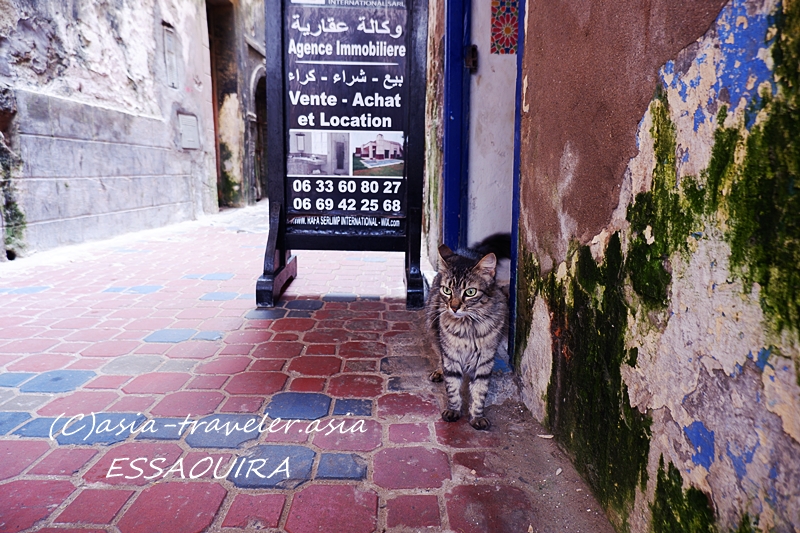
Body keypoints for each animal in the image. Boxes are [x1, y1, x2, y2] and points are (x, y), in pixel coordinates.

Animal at [428, 239, 510, 430]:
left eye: (470, 292)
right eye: (447, 290)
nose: (454, 307)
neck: (468, 327)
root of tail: (466, 251)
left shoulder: (485, 360)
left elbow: (480, 392)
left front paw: (477, 417)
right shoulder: (451, 356)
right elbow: (452, 387)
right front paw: (453, 411)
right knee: (440, 357)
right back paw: (439, 372)